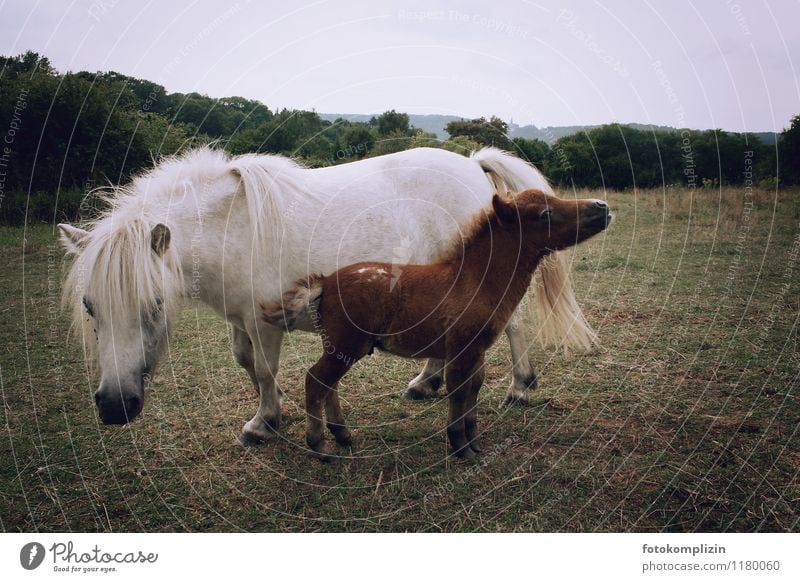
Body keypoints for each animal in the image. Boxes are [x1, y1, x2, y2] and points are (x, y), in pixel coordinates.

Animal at [59, 147, 592, 448]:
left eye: (153, 305)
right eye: (90, 307)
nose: (114, 407)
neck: (229, 227)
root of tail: (471, 164)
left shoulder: (264, 322)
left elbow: (266, 370)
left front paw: (263, 424)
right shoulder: (240, 321)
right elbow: (247, 365)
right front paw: (274, 413)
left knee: (514, 326)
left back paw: (520, 386)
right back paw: (427, 382)